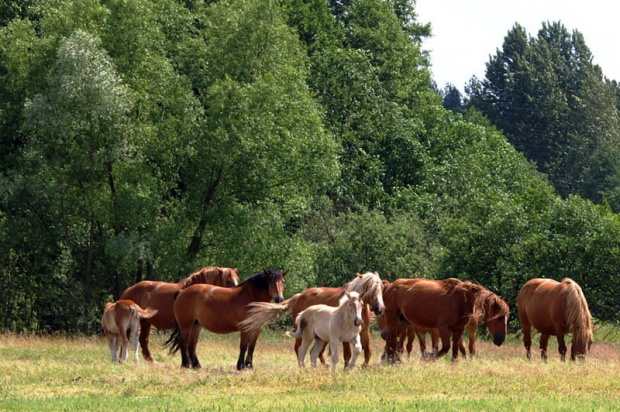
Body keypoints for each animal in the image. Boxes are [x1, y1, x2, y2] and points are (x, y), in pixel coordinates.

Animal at [240, 272, 386, 368]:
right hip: (302, 334)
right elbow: (347, 354)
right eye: (369, 288)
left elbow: (366, 351)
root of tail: (299, 296)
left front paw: (364, 367)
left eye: (381, 288)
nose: (380, 308)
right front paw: (345, 368)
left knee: (316, 352)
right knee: (299, 348)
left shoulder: (364, 331)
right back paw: (305, 366)